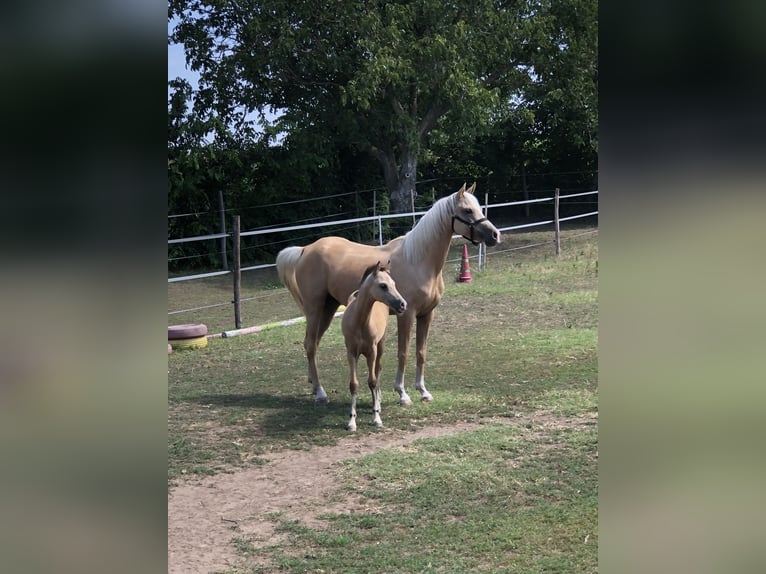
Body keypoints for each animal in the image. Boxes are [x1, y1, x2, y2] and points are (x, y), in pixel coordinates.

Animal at [280, 183, 500, 404]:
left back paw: (312, 384)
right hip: (314, 308)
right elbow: (403, 353)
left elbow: (421, 352)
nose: (495, 235)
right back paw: (320, 391)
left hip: (328, 308)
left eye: (479, 208)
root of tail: (305, 249)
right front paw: (402, 393)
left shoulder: (427, 315)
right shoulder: (407, 314)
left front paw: (423, 391)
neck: (418, 261)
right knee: (310, 345)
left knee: (313, 344)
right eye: (467, 210)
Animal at [342, 260, 408, 432]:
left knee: (377, 372)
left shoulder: (372, 351)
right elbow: (353, 384)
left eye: (394, 283)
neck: (359, 322)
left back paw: (377, 403)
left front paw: (376, 417)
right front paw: (351, 422)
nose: (403, 304)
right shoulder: (351, 353)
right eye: (383, 285)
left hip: (380, 347)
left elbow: (372, 381)